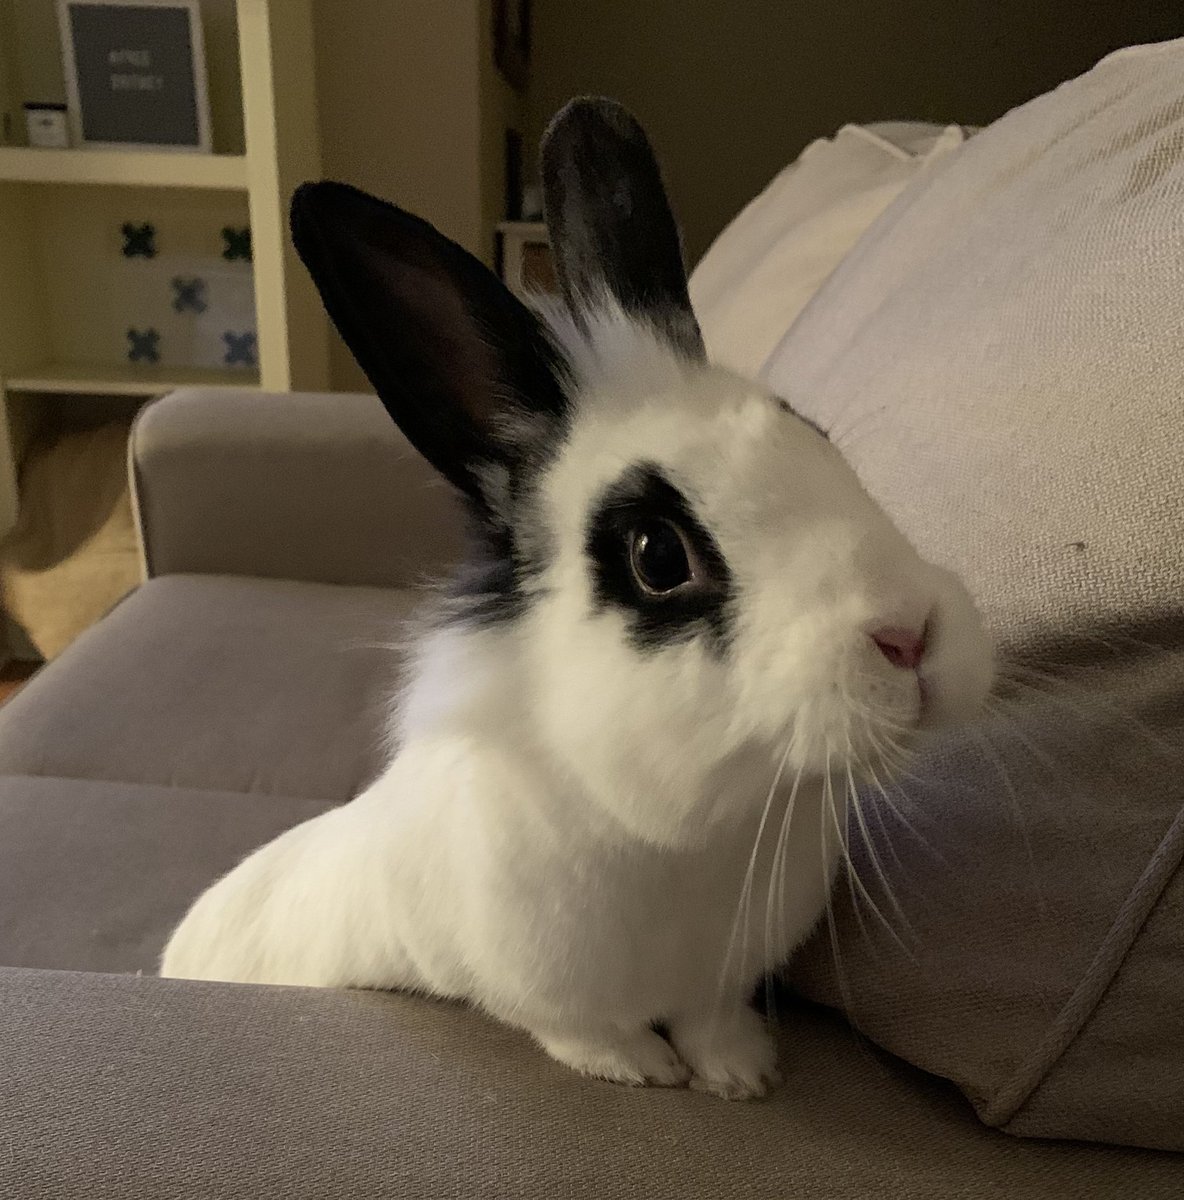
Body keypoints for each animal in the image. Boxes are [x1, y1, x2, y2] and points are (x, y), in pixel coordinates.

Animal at [160, 98, 993, 1099]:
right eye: (657, 555)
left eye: (815, 436)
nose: (910, 636)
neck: (708, 830)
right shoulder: (534, 986)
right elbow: (578, 1030)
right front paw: (644, 1073)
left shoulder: (715, 979)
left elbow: (713, 1019)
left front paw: (740, 1075)